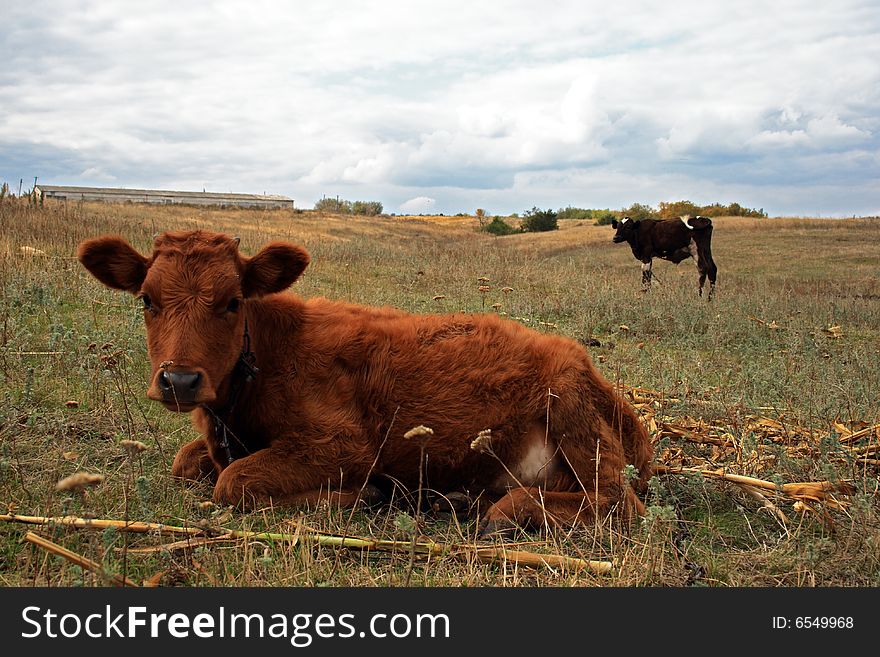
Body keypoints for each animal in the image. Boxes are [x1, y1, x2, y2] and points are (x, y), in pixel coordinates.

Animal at [77, 231, 652, 532]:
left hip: (571, 413)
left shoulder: (344, 444)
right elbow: (187, 462)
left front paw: (359, 495)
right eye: (147, 299)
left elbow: (232, 481)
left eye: (232, 302)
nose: (179, 379)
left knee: (618, 503)